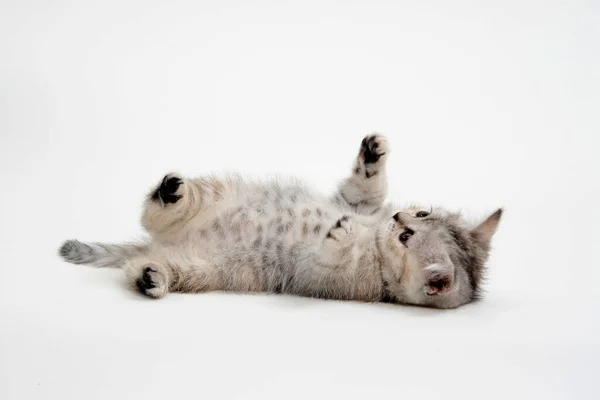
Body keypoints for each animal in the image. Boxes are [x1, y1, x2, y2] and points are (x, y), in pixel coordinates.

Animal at [59, 135, 502, 310]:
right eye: (420, 214)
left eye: (407, 236)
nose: (398, 218)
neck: (374, 240)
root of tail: (157, 246)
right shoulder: (357, 203)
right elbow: (366, 189)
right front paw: (373, 154)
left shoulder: (325, 276)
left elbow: (329, 255)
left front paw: (340, 234)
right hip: (213, 194)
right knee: (159, 209)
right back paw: (170, 191)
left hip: (203, 270)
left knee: (147, 263)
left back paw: (151, 277)